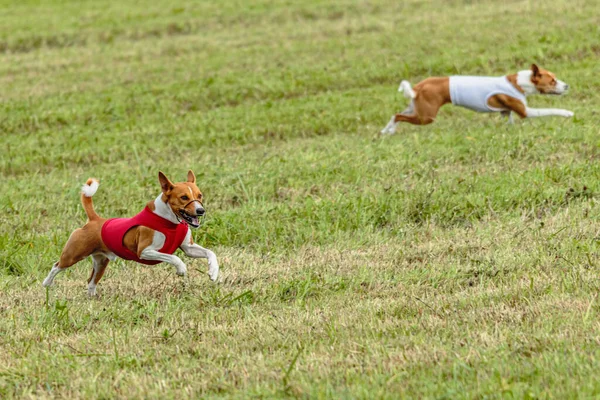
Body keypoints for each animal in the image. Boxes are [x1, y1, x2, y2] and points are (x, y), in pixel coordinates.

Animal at [42, 170, 220, 296]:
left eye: (199, 195)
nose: (201, 210)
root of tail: (95, 219)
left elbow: (211, 253)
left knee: (91, 281)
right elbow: (174, 257)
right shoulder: (145, 251)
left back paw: (92, 298)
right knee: (56, 266)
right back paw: (47, 284)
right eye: (184, 197)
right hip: (73, 255)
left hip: (101, 262)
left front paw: (213, 272)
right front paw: (181, 268)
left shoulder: (189, 248)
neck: (169, 222)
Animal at [382, 63, 576, 134]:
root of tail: (419, 86)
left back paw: (387, 130)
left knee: (395, 114)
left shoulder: (506, 112)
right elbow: (549, 110)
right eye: (552, 81)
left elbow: (508, 120)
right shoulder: (525, 111)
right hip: (426, 117)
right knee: (398, 116)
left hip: (416, 108)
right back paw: (389, 130)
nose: (567, 86)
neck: (519, 83)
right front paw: (567, 113)